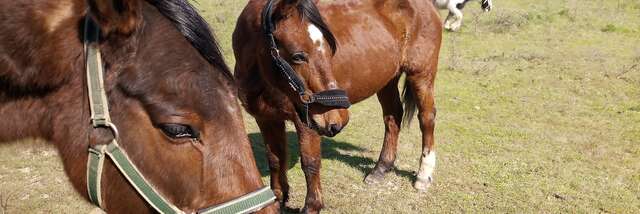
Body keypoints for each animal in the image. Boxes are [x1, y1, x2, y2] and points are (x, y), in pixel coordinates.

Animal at [234, 0, 440, 212]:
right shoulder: (266, 118)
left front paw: (312, 206)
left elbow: (310, 163)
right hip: (387, 80)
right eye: (297, 56)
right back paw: (381, 168)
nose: (339, 119)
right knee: (393, 116)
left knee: (426, 118)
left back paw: (423, 175)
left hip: (421, 74)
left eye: (330, 48)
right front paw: (278, 198)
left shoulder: (307, 122)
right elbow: (275, 158)